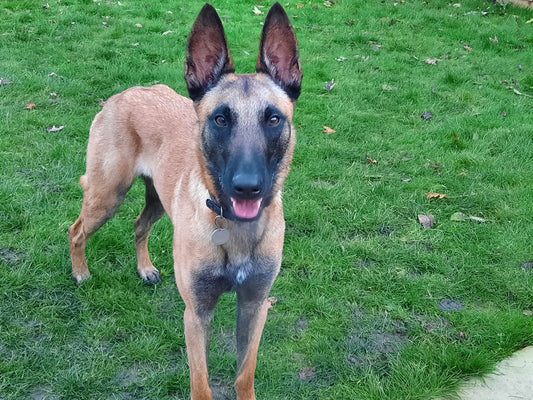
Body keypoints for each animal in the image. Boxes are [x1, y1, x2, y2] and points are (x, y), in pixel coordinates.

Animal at [68, 3, 302, 400]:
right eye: (220, 119)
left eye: (273, 118)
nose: (247, 188)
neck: (234, 233)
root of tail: (123, 94)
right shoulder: (196, 314)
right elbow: (201, 385)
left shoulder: (255, 306)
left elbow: (245, 375)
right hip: (107, 194)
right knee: (77, 229)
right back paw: (80, 272)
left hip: (157, 200)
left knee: (139, 225)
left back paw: (145, 268)